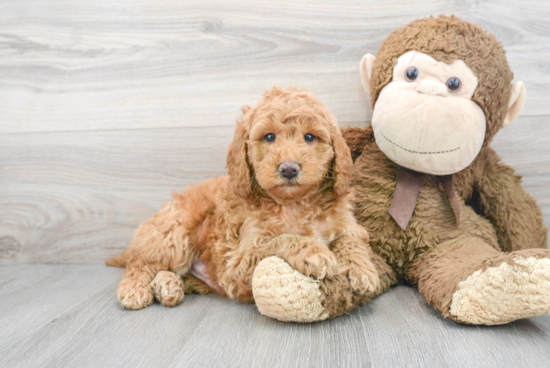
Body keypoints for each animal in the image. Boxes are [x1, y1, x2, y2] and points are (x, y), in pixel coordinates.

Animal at [106, 87, 382, 310]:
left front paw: (364, 270)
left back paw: (168, 286)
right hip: (173, 235)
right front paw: (314, 251)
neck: (293, 204)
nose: (289, 168)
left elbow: (350, 240)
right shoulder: (237, 263)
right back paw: (134, 290)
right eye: (269, 137)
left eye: (310, 137)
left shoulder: (346, 224)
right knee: (141, 264)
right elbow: (279, 240)